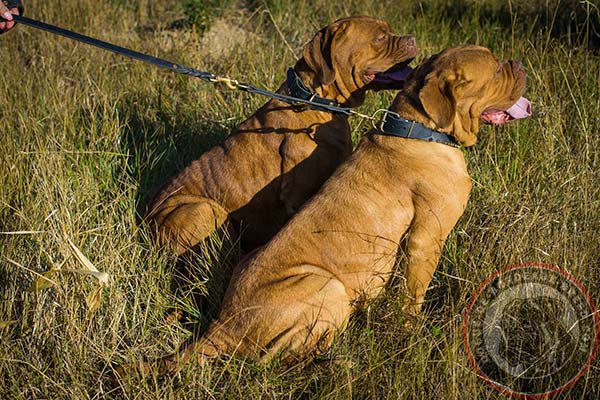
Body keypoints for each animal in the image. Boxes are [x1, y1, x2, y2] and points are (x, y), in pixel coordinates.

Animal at [123, 45, 528, 376]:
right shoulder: (426, 240)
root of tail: (223, 324)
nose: (520, 64)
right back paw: (337, 363)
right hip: (327, 286)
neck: (417, 127)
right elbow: (413, 296)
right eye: (496, 71)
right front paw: (411, 331)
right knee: (280, 361)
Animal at [146, 17, 418, 253]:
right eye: (381, 37)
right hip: (203, 210)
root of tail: (146, 221)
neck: (315, 99)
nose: (413, 38)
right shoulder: (299, 195)